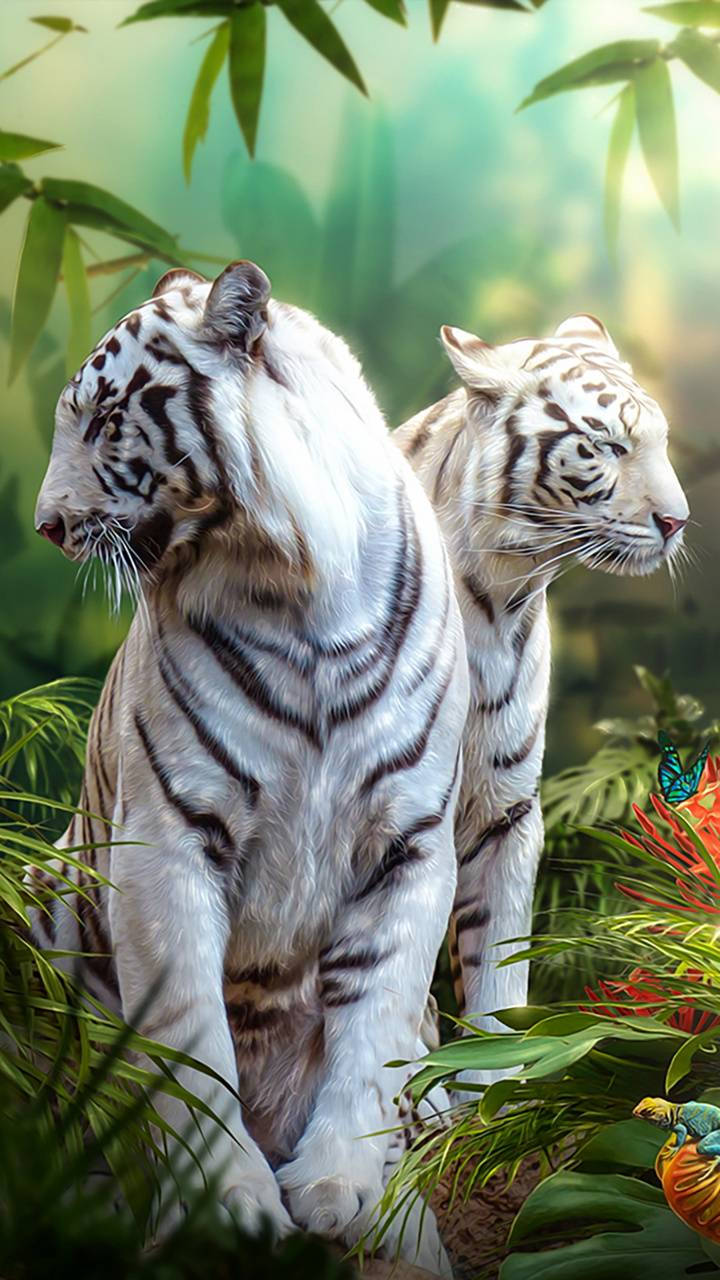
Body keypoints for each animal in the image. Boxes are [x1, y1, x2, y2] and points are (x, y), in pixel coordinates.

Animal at [30, 261, 469, 1273]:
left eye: (104, 419)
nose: (46, 525)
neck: (298, 583)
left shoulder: (412, 845)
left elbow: (376, 1019)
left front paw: (340, 1186)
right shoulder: (165, 841)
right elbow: (191, 1044)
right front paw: (230, 1207)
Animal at [394, 314, 689, 1069]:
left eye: (660, 441)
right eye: (608, 445)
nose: (677, 522)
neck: (499, 599)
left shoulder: (508, 808)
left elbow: (498, 971)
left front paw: (489, 1079)